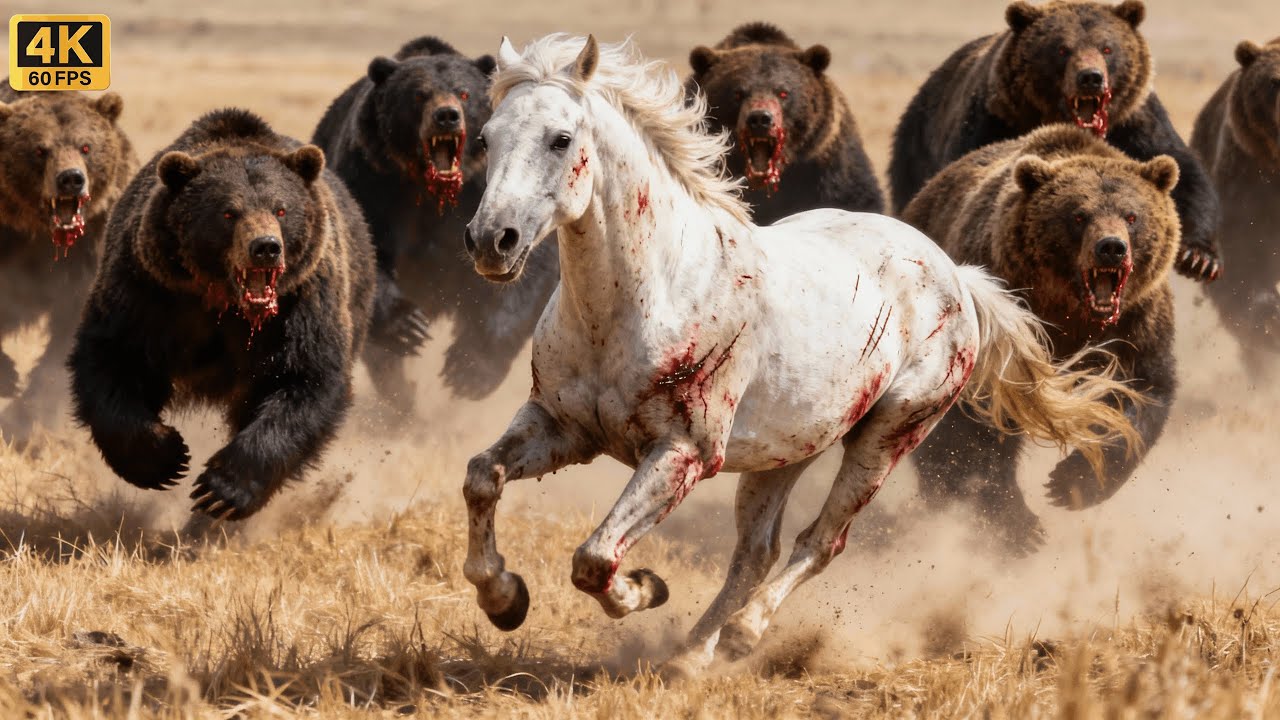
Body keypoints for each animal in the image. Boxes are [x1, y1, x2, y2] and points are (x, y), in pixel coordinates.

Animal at [457, 33, 1139, 675]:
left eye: (561, 138)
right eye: (486, 137)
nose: (492, 241)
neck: (643, 298)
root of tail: (957, 275)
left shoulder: (683, 453)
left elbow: (594, 559)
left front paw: (644, 590)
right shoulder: (562, 426)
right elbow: (482, 477)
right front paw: (504, 600)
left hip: (886, 436)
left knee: (821, 541)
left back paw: (741, 636)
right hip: (786, 450)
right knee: (756, 552)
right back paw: (689, 657)